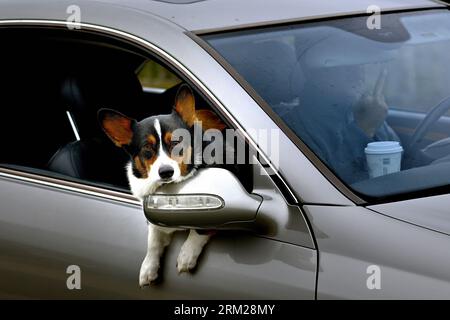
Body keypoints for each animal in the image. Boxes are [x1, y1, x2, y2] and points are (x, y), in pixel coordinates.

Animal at [97, 84, 227, 286]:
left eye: (176, 142)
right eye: (147, 149)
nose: (166, 172)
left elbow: (199, 230)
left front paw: (186, 255)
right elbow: (153, 241)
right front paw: (148, 268)